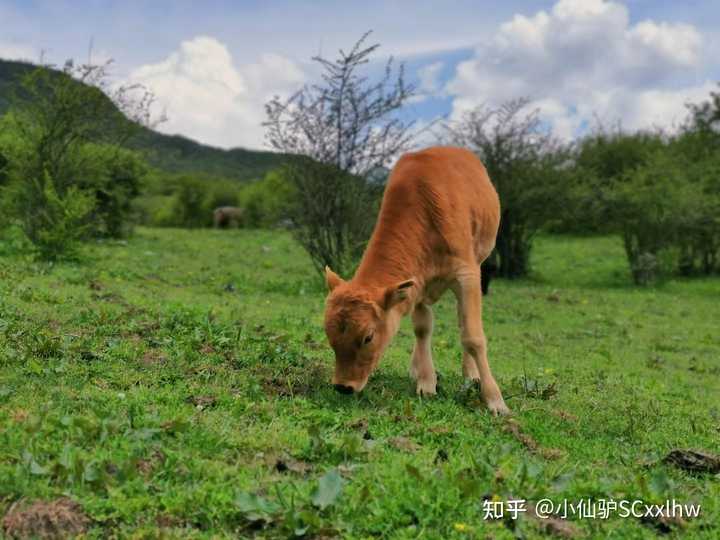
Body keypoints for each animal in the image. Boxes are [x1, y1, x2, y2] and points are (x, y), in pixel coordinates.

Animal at [324, 146, 510, 416]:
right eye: (328, 334)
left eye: (368, 337)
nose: (343, 386)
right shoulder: (418, 281)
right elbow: (422, 328)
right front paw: (426, 381)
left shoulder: (467, 275)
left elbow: (473, 337)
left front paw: (494, 399)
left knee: (463, 323)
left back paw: (471, 374)